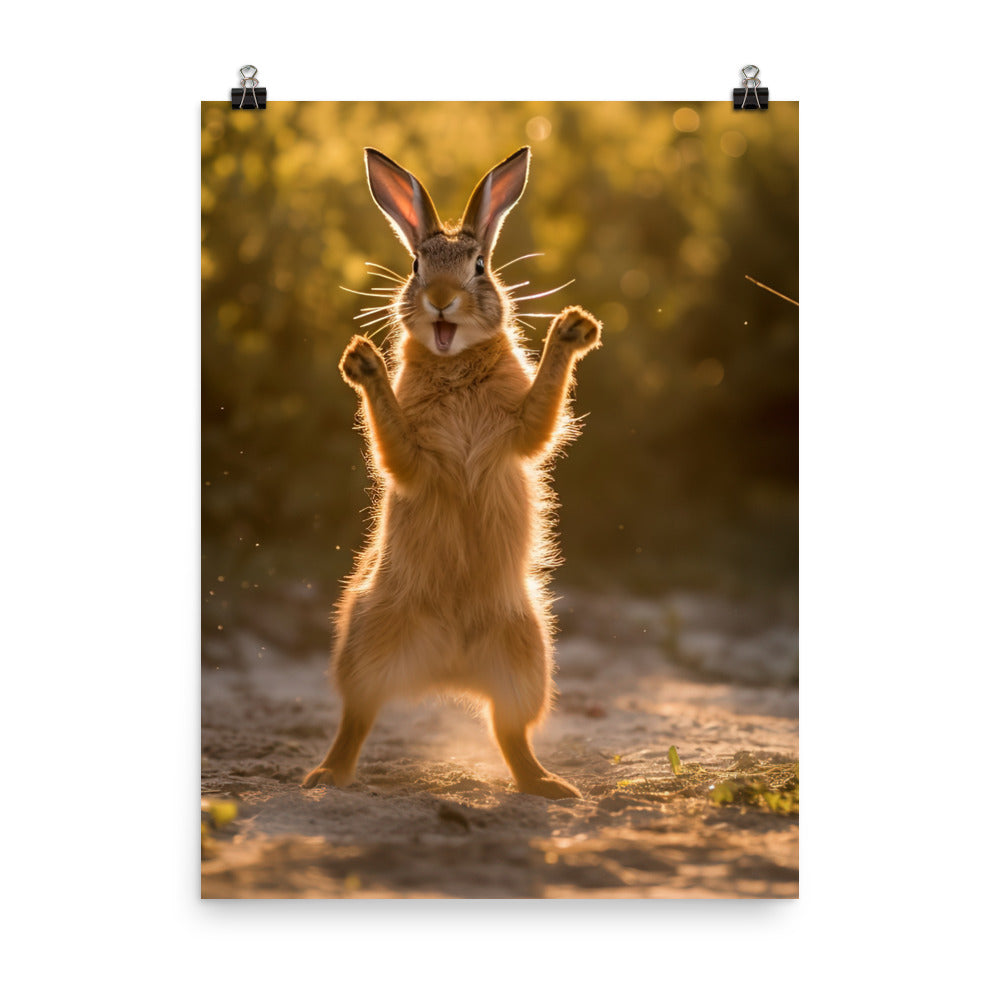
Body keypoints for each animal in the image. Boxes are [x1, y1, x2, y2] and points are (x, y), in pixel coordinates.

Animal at [301, 146, 601, 799]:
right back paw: (325, 776)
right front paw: (361, 361)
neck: (455, 362)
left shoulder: (519, 430)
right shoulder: (414, 457)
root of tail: (447, 668)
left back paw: (552, 787)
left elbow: (543, 413)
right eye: (416, 265)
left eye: (480, 267)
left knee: (509, 734)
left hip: (527, 656)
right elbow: (394, 446)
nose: (441, 298)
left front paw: (574, 328)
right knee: (357, 719)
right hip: (364, 641)